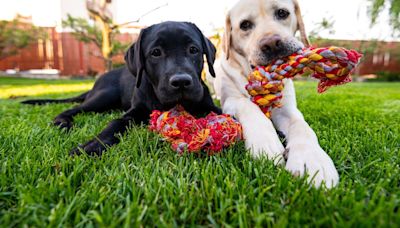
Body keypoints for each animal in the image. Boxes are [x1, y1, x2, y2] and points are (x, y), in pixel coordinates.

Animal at [21, 21, 220, 155]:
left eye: (193, 49)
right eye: (156, 52)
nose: (181, 82)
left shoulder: (208, 105)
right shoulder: (134, 111)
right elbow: (116, 123)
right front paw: (91, 146)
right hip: (104, 96)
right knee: (74, 108)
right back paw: (62, 122)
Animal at [211, 0, 340, 189]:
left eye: (282, 13)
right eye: (245, 25)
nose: (272, 44)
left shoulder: (287, 110)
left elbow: (303, 127)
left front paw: (312, 160)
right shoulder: (230, 100)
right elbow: (247, 105)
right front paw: (265, 143)